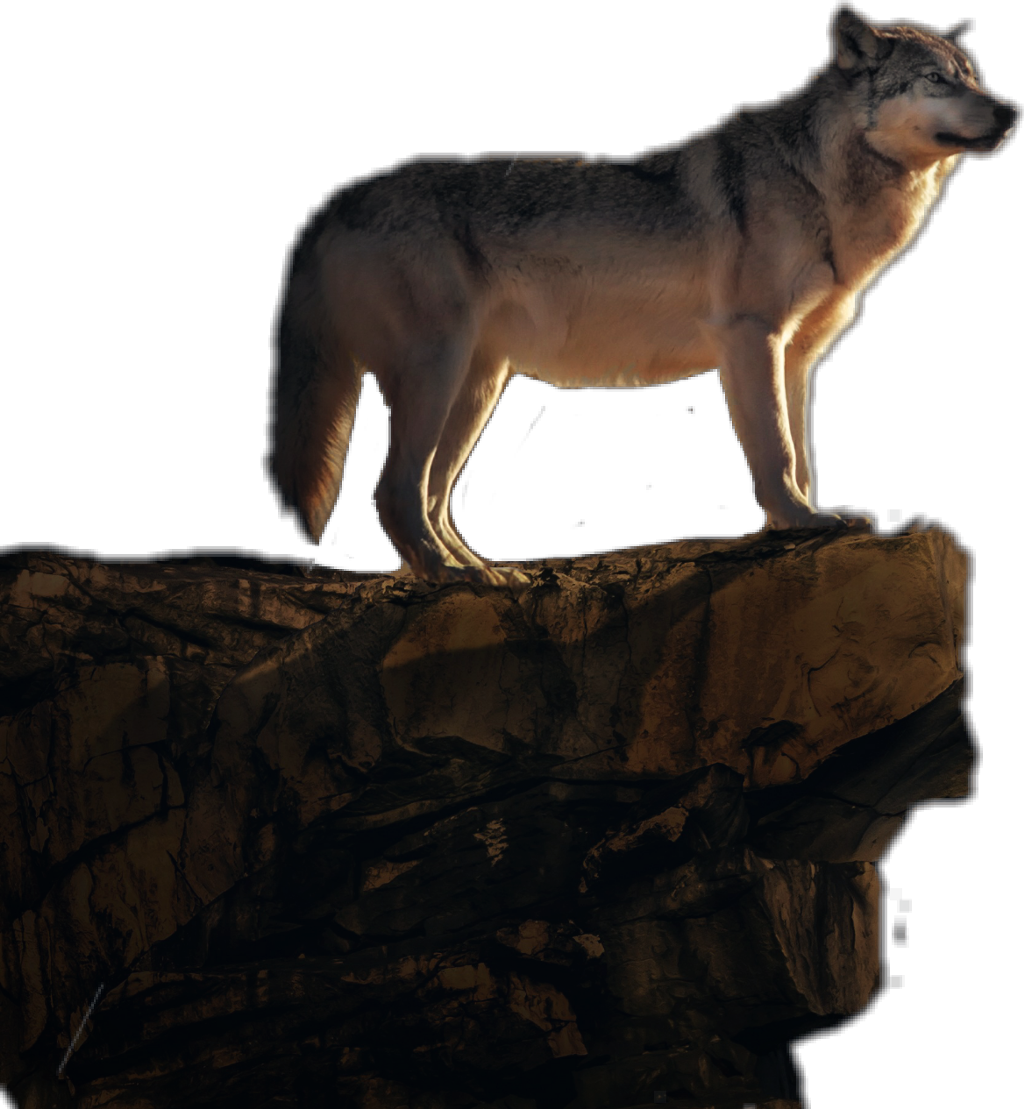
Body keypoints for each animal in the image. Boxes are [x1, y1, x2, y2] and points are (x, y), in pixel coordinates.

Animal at [266, 7, 1018, 585]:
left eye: (972, 76)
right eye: (936, 79)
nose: (1011, 110)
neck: (821, 183)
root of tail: (331, 201)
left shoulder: (798, 354)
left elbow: (802, 453)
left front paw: (813, 519)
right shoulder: (752, 337)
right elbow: (775, 452)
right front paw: (798, 523)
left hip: (477, 387)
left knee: (432, 496)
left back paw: (482, 572)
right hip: (438, 373)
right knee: (395, 491)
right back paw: (450, 578)